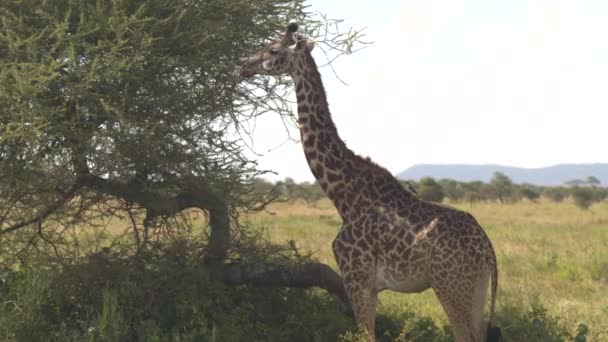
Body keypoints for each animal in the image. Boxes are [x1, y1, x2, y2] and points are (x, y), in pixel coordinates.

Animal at [240, 22, 502, 340]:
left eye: (273, 50)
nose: (243, 66)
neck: (342, 194)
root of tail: (487, 250)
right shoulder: (370, 286)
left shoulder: (357, 278)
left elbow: (366, 334)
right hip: (476, 290)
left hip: (451, 287)